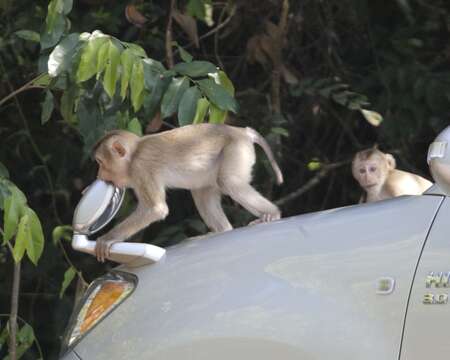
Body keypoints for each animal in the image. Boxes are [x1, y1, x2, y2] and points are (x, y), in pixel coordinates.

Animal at [92, 122, 284, 260]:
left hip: (236, 149)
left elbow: (155, 209)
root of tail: (241, 131)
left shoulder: (141, 169)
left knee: (228, 181)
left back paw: (272, 214)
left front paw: (108, 239)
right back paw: (222, 231)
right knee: (202, 192)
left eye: (100, 163)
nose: (99, 175)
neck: (134, 154)